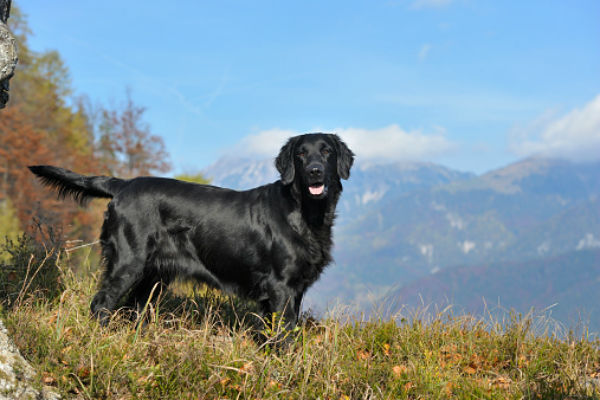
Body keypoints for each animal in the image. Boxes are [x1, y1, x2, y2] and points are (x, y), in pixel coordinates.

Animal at [28, 133, 354, 332]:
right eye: (301, 154)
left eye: (326, 151)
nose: (314, 171)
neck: (305, 212)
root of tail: (123, 184)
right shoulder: (281, 287)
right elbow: (283, 336)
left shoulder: (296, 289)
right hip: (128, 263)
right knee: (101, 304)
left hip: (153, 277)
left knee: (132, 309)